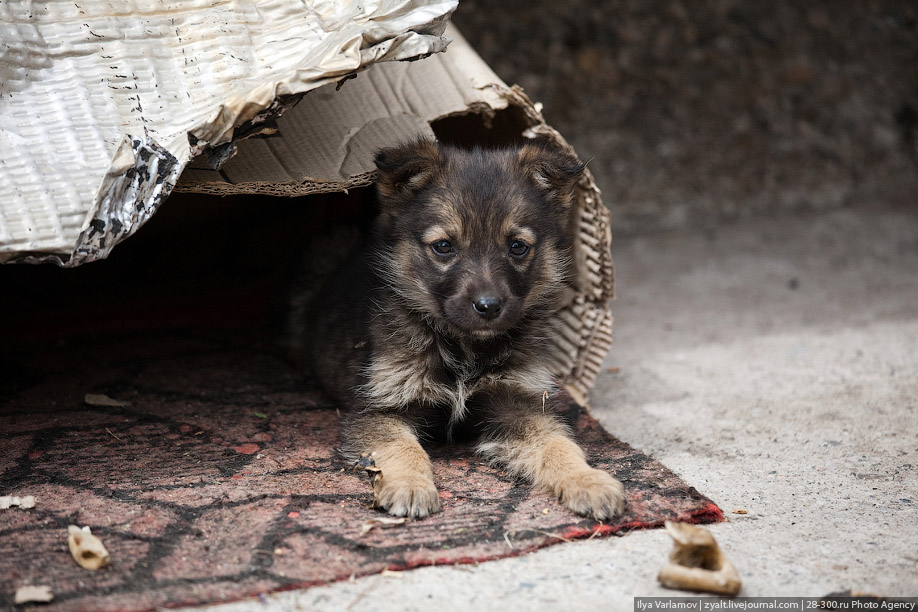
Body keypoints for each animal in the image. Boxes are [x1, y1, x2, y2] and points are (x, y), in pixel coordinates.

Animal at [298, 140, 628, 520]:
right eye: (443, 246)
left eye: (518, 246)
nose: (488, 307)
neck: (464, 348)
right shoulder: (380, 408)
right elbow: (402, 447)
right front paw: (411, 486)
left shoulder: (519, 404)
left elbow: (558, 443)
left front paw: (588, 481)